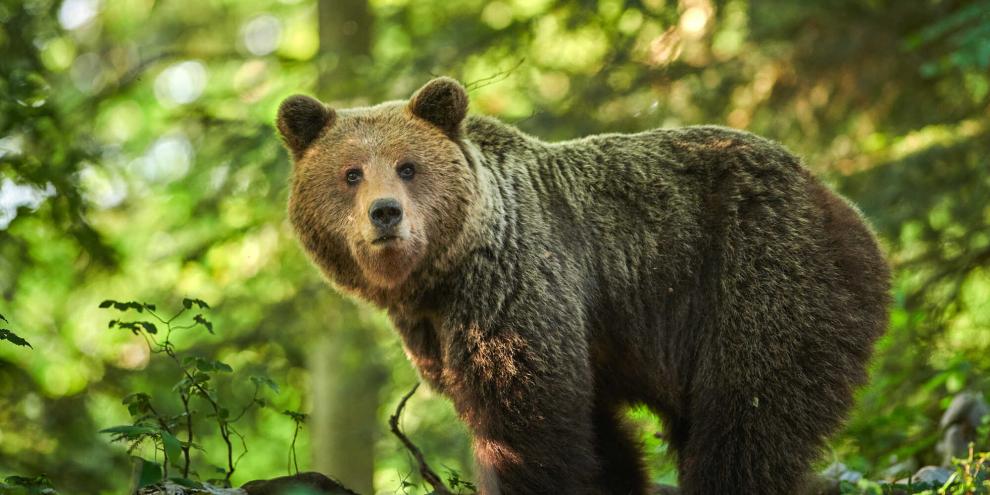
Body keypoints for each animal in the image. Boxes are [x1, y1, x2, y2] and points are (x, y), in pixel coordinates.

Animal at [276, 77, 891, 495]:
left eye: (407, 166)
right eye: (351, 173)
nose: (385, 213)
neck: (442, 277)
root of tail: (838, 204)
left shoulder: (515, 286)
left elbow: (527, 423)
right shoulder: (436, 331)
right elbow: (595, 430)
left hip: (759, 275)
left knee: (747, 417)